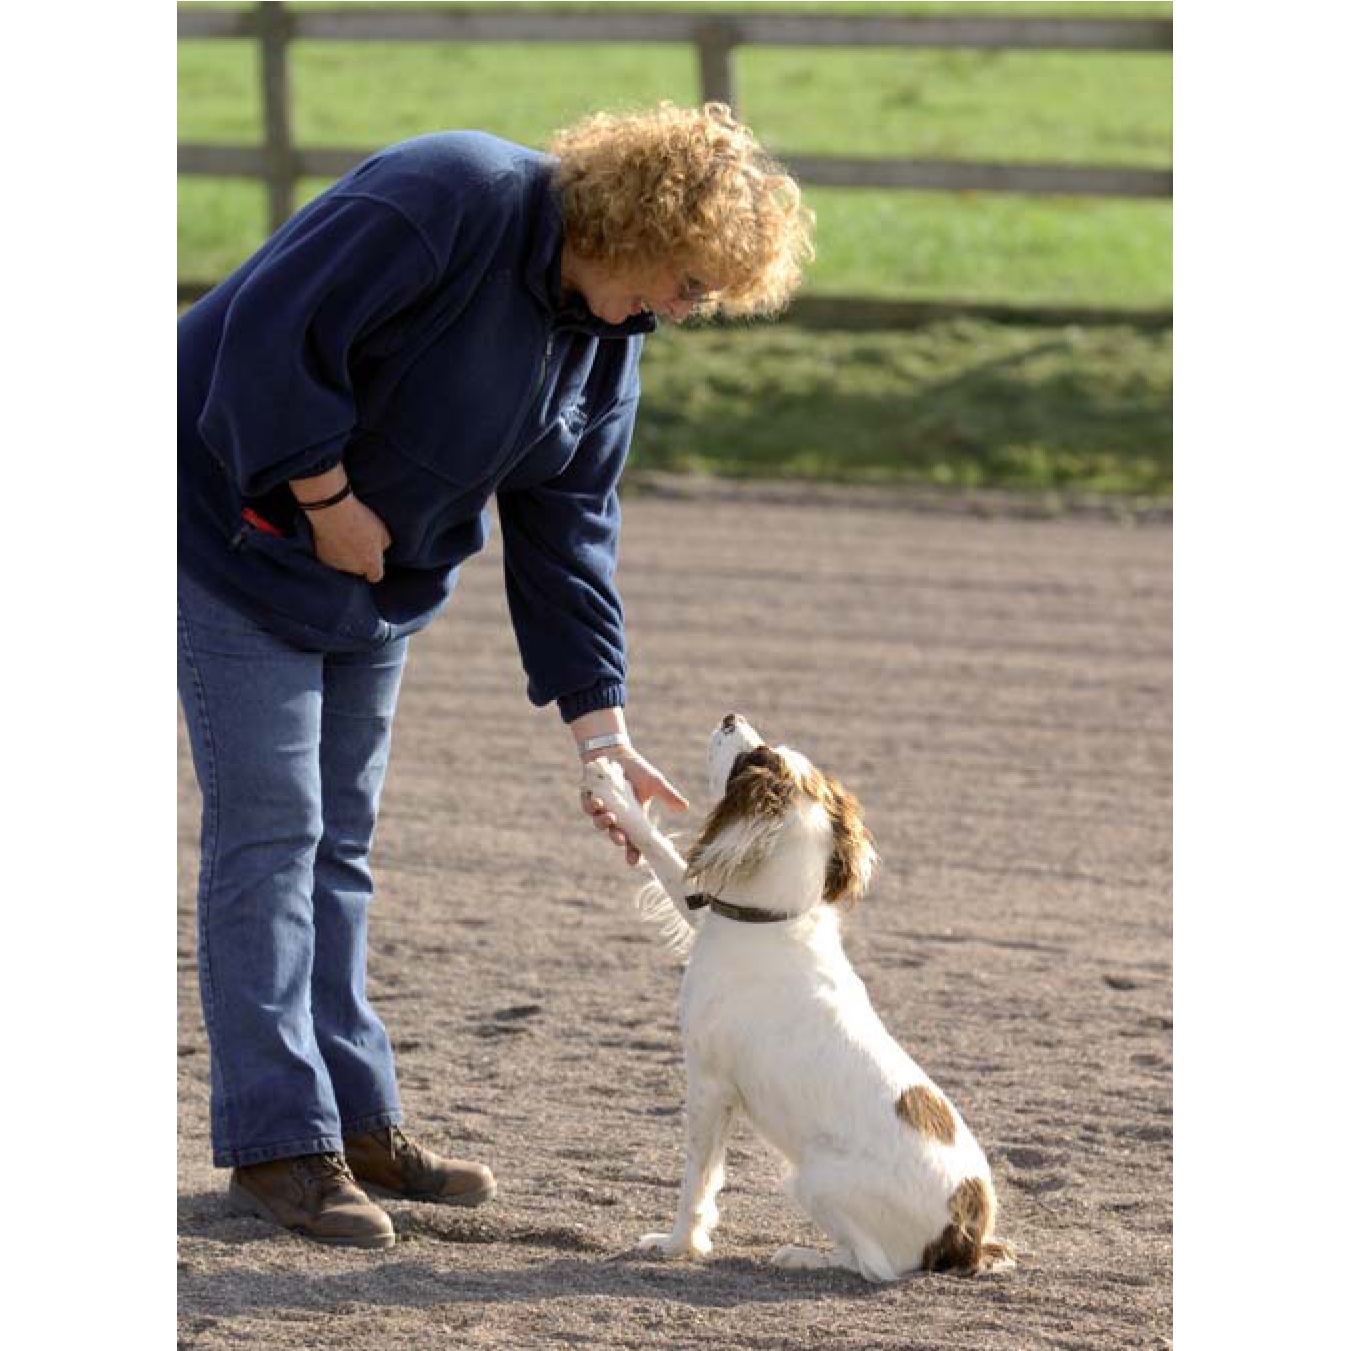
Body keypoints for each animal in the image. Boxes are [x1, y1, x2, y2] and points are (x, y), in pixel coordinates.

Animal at [581, 714, 1014, 1282]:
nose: (731, 717)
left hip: (812, 1178)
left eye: (754, 756)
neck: (775, 920)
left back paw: (801, 1255)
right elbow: (666, 859)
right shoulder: (712, 908)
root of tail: (966, 1240)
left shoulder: (710, 1084)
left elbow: (696, 1181)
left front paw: (679, 1245)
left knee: (873, 1266)